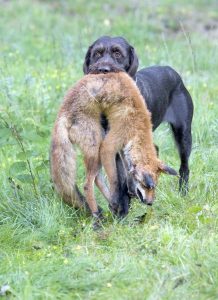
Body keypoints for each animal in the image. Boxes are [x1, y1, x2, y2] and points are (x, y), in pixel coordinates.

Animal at [49, 71, 177, 220]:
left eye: (155, 186)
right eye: (148, 186)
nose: (150, 203)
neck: (138, 124)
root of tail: (62, 113)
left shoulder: (123, 148)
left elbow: (128, 170)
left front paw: (127, 191)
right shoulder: (109, 146)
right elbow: (115, 179)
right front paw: (116, 198)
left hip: (96, 148)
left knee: (97, 179)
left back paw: (109, 205)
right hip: (96, 145)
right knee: (87, 185)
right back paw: (97, 216)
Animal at [82, 35, 193, 216]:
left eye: (118, 53)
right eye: (97, 54)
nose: (103, 69)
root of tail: (172, 71)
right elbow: (119, 179)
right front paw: (120, 209)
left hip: (183, 135)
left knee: (184, 166)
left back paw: (183, 192)